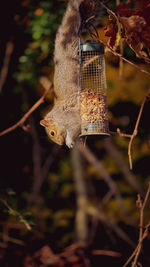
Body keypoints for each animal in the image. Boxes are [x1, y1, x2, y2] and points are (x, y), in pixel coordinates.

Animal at [39, 0, 98, 149]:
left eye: (52, 133)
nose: (60, 144)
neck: (58, 117)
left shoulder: (70, 118)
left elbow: (74, 127)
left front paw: (69, 141)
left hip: (73, 50)